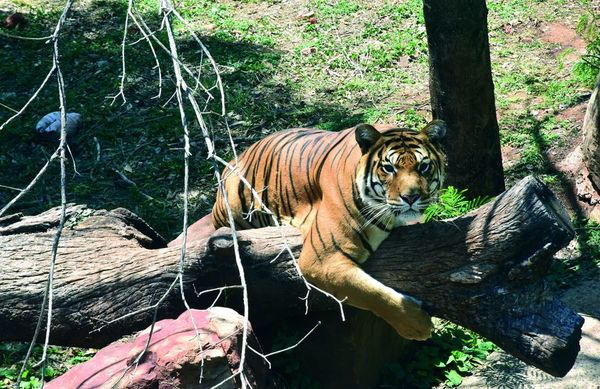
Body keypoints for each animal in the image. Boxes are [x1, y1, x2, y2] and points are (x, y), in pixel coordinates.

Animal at [210, 119, 446, 338]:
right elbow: (371, 293)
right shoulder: (321, 260)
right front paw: (417, 326)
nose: (411, 197)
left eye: (423, 167)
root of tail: (238, 156)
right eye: (389, 168)